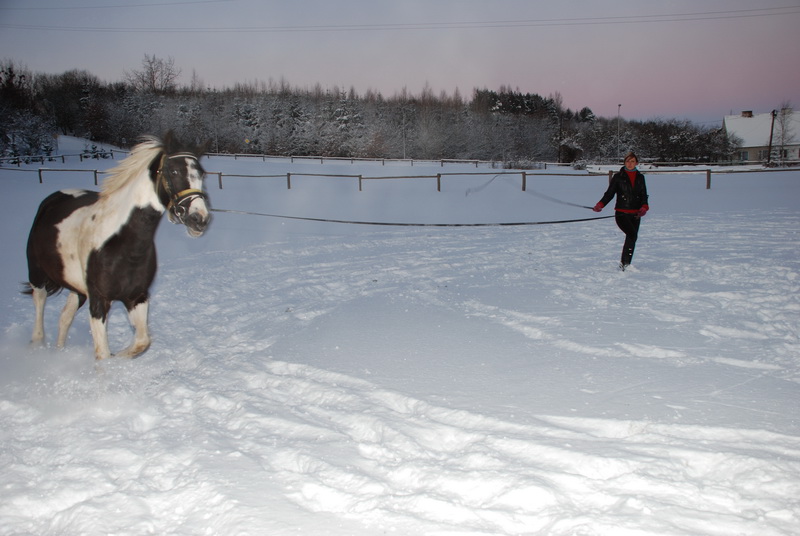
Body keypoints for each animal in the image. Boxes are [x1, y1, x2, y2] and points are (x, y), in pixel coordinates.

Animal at [24, 131, 211, 360]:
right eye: (173, 170)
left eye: (201, 174)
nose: (199, 219)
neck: (121, 242)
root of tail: (52, 199)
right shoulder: (99, 301)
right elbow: (103, 355)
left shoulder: (136, 297)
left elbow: (141, 342)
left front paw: (120, 356)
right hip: (37, 275)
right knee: (39, 313)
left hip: (77, 289)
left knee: (64, 317)